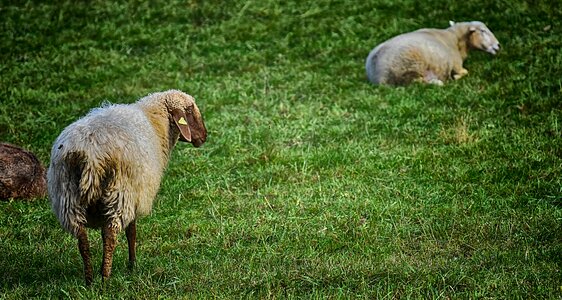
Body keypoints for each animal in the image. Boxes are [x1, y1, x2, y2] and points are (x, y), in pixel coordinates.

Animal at [46, 89, 208, 286]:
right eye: (190, 111)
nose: (204, 137)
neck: (155, 120)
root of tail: (89, 154)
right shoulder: (136, 193)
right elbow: (132, 232)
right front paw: (132, 265)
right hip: (120, 193)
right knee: (110, 234)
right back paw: (105, 278)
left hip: (68, 195)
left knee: (82, 238)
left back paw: (90, 279)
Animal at [364, 20, 498, 85]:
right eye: (483, 31)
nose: (498, 46)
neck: (455, 39)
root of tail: (377, 76)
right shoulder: (456, 65)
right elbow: (465, 72)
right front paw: (455, 77)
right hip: (410, 67)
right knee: (414, 83)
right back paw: (437, 82)